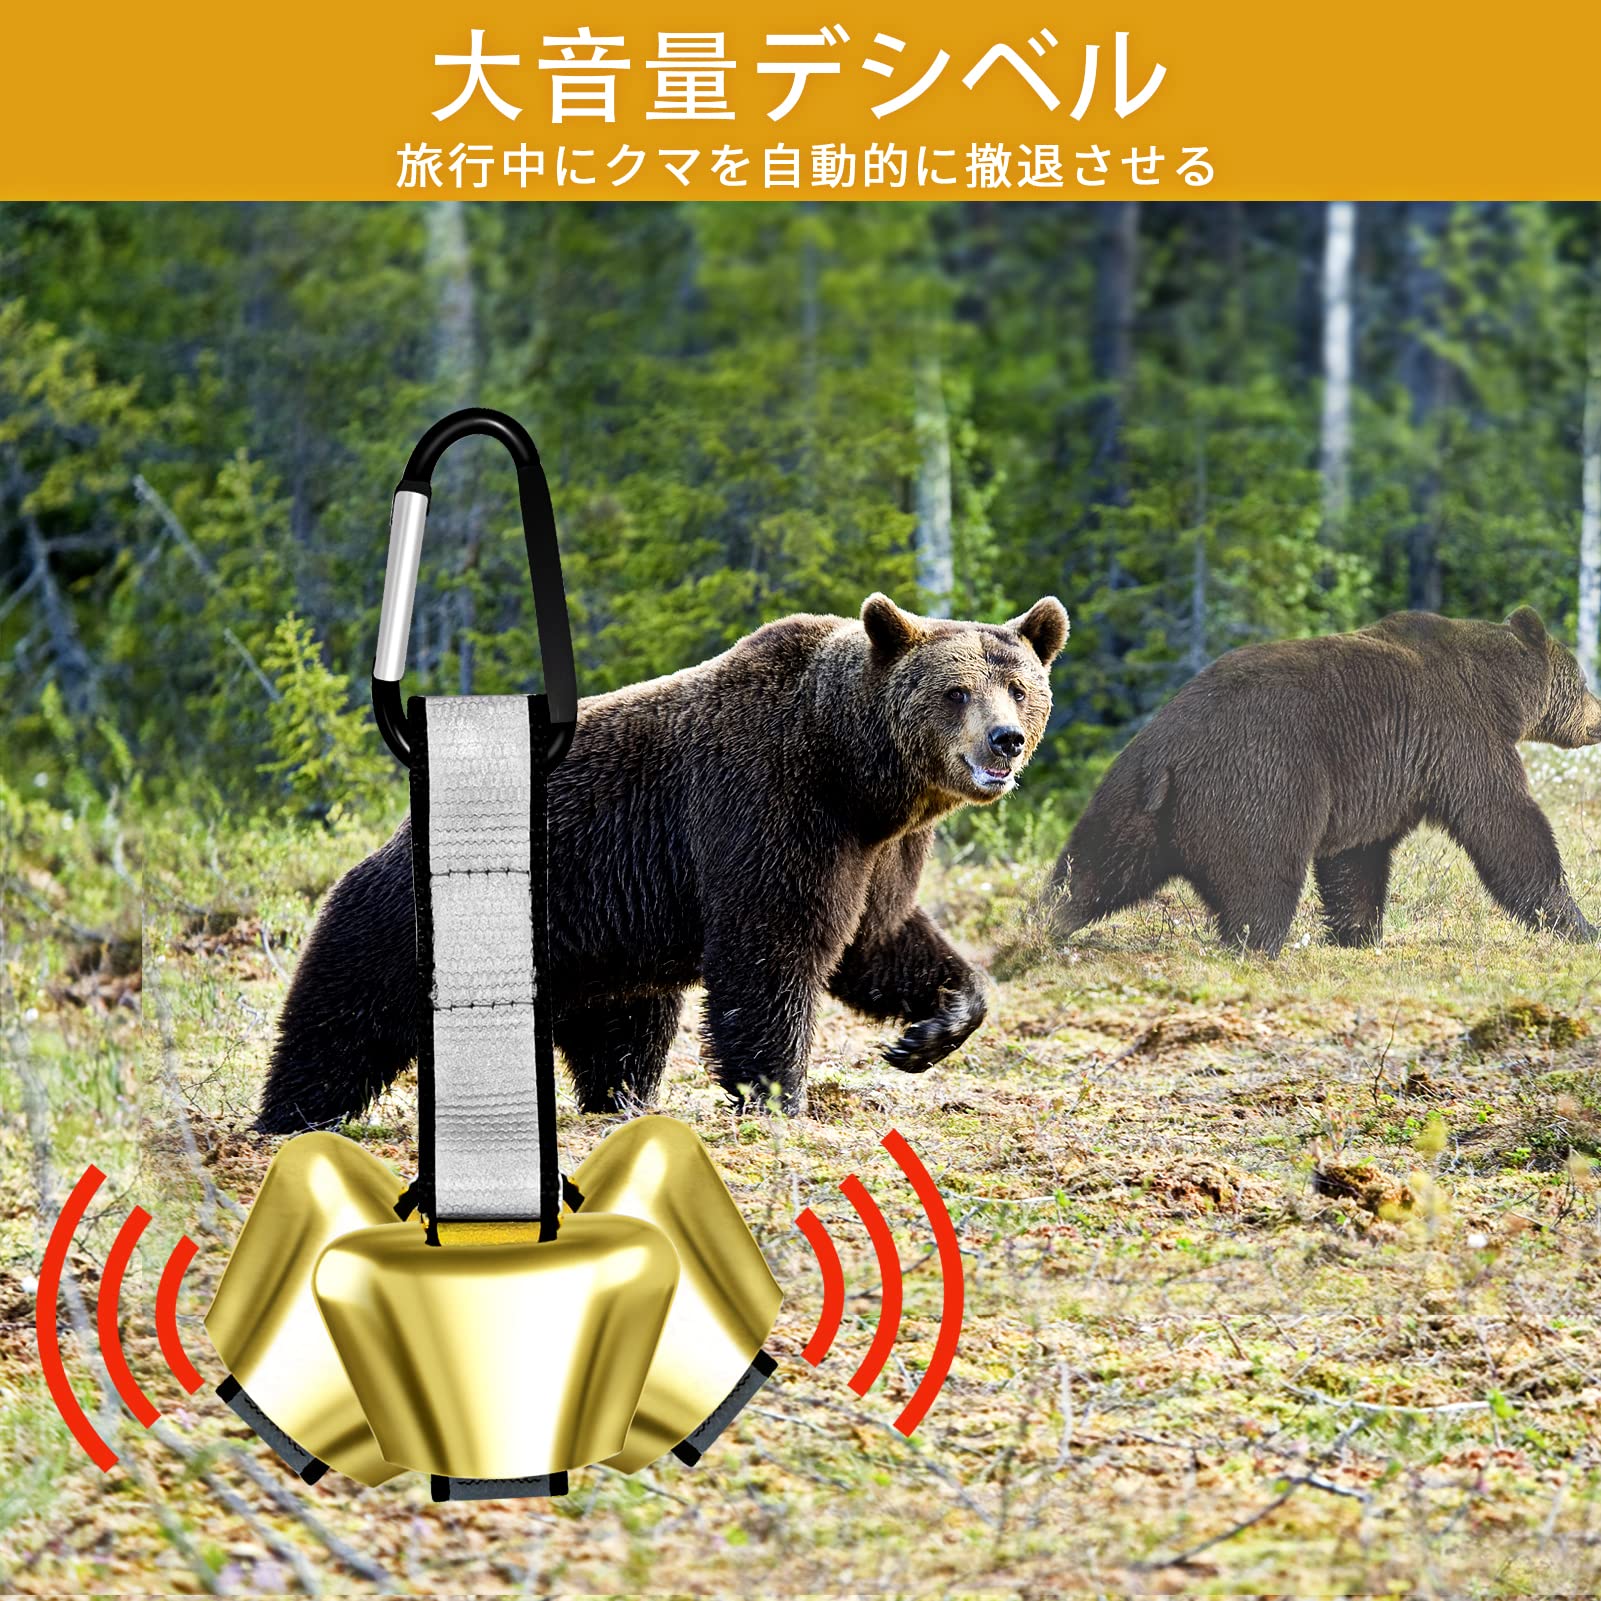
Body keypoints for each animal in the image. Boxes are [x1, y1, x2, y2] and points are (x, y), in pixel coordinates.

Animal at [256, 591, 1069, 1130]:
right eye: (955, 689)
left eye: (1019, 687)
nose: (1004, 740)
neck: (855, 773)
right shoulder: (768, 805)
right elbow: (774, 946)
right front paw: (780, 1097)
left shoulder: (881, 850)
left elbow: (881, 940)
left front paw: (923, 1034)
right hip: (411, 916)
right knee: (342, 1017)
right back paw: (290, 1116)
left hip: (603, 945)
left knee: (625, 1034)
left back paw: (621, 1102)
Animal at [1048, 607, 1601, 956]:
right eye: (1584, 680)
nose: (1600, 717)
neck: (1498, 691)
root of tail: (1170, 753)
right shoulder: (1457, 734)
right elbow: (1504, 822)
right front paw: (1578, 923)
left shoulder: (1380, 778)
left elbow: (1357, 856)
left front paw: (1357, 933)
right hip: (1260, 781)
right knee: (1263, 875)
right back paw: (1257, 944)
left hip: (1130, 797)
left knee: (1090, 869)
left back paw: (1046, 924)